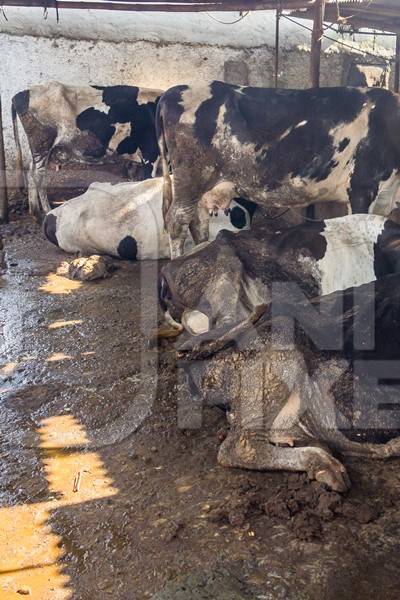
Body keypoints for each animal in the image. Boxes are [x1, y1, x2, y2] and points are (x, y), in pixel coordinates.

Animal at [12, 81, 162, 218]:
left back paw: (35, 212)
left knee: (30, 172)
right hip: (42, 142)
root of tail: (23, 92)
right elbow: (149, 182)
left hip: (37, 148)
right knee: (38, 175)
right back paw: (46, 211)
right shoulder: (151, 153)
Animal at [158, 82, 400, 255]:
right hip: (190, 178)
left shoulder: (383, 196)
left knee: (198, 221)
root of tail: (175, 90)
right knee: (177, 222)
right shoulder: (362, 186)